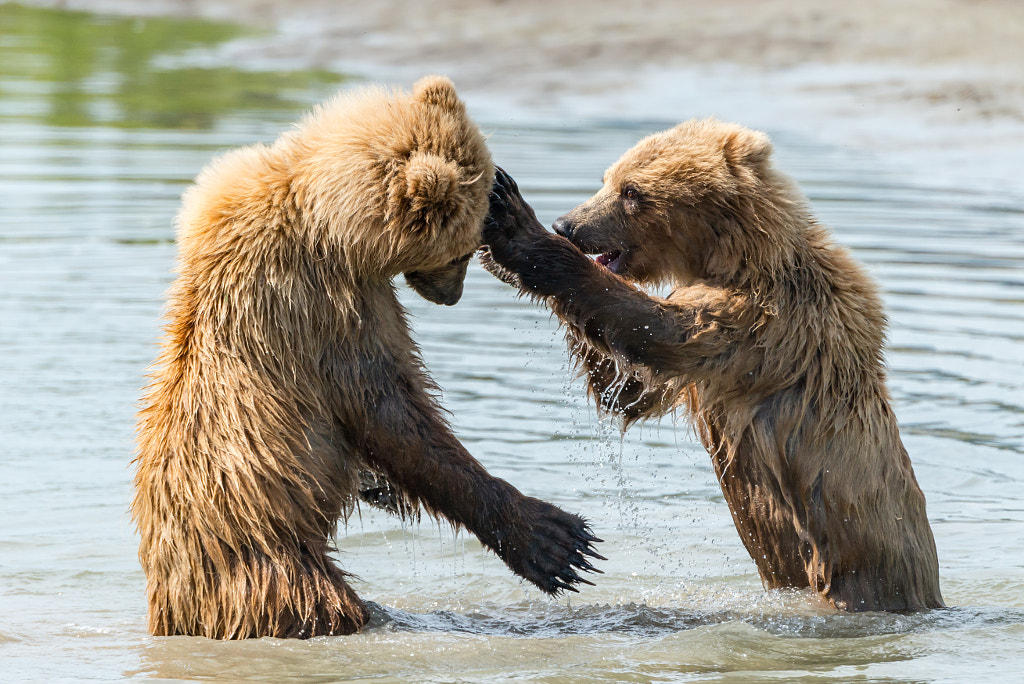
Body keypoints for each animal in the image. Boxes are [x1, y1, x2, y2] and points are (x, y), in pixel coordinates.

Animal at [132, 77, 602, 638]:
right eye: (462, 251)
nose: (454, 297)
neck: (327, 220)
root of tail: (173, 599)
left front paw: (380, 487)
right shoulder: (329, 307)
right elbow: (390, 411)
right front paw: (553, 537)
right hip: (271, 567)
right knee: (321, 601)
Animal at [483, 118, 946, 614]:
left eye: (632, 191)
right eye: (607, 178)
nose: (566, 224)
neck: (740, 256)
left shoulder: (768, 323)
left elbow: (658, 331)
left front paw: (515, 228)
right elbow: (627, 390)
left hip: (859, 566)